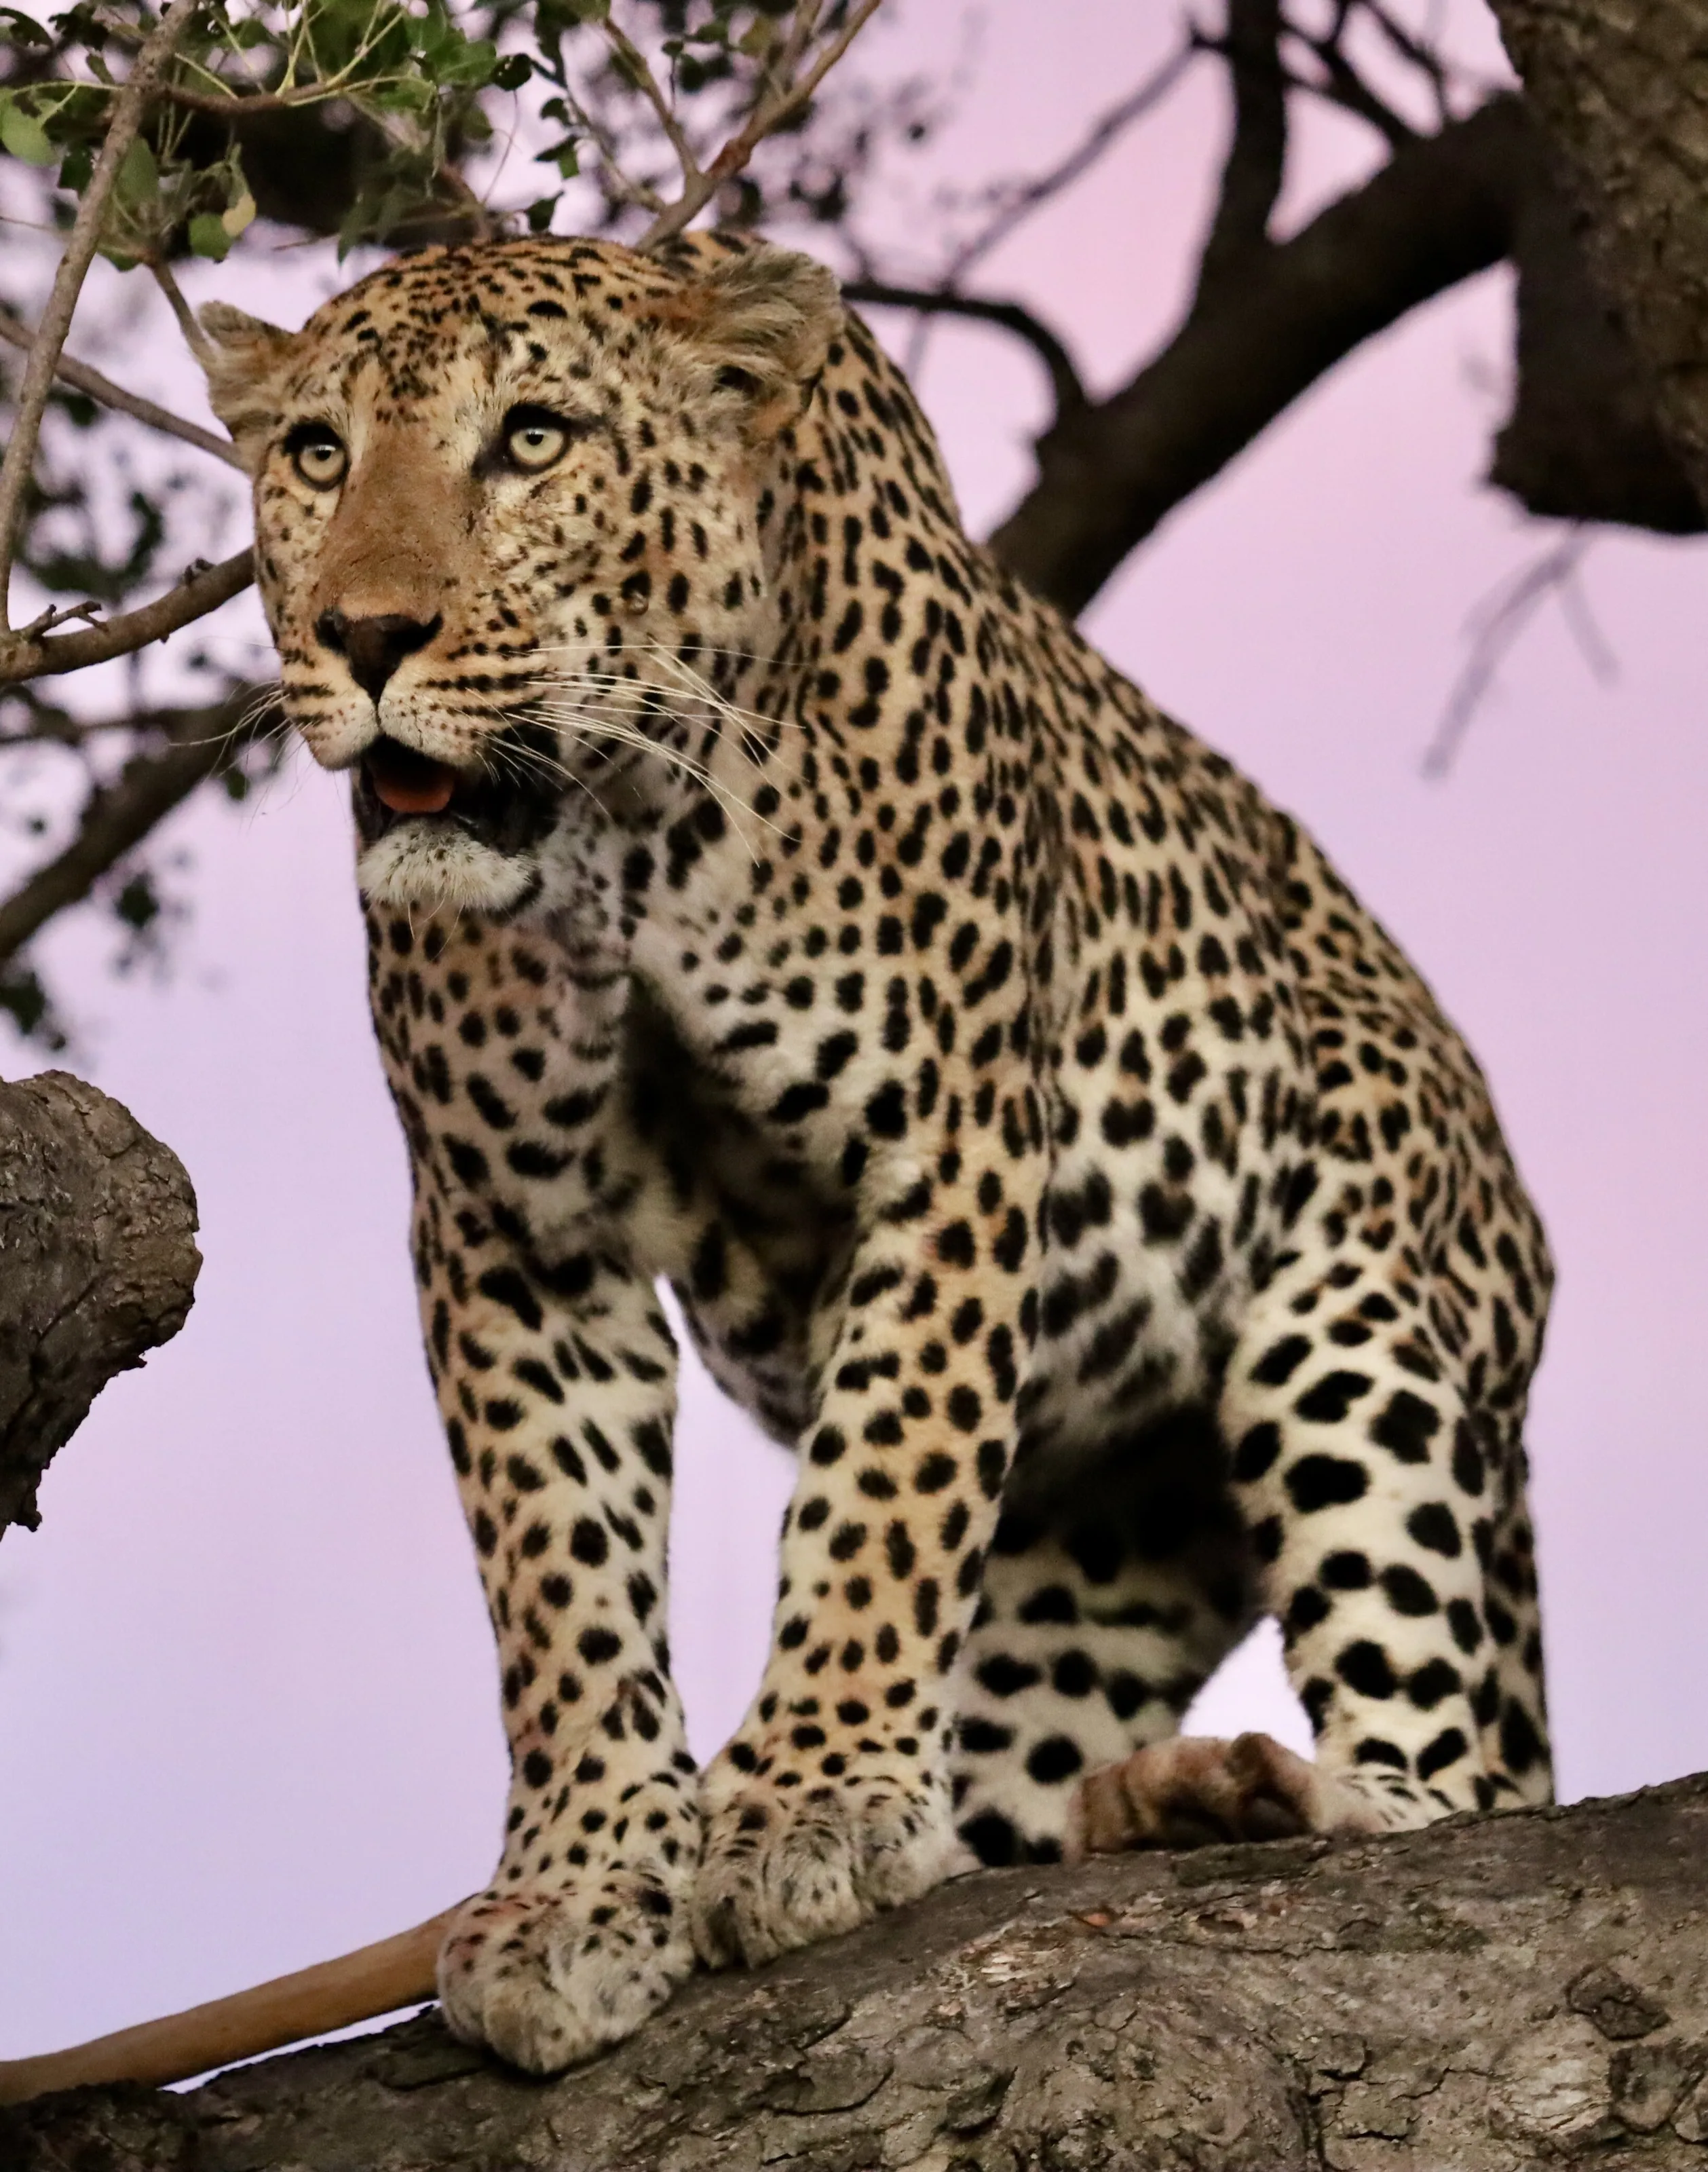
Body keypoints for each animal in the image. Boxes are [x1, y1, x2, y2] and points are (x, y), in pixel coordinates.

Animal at [196, 229, 1553, 2075]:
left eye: (533, 439)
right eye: (317, 455)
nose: (367, 632)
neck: (620, 831)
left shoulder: (949, 1145)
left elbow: (881, 1494)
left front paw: (808, 1804)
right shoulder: (509, 1228)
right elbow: (560, 1578)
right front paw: (579, 1884)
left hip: (1357, 1329)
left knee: (1452, 1780)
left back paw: (1271, 1800)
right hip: (1098, 1561)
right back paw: (1137, 1810)